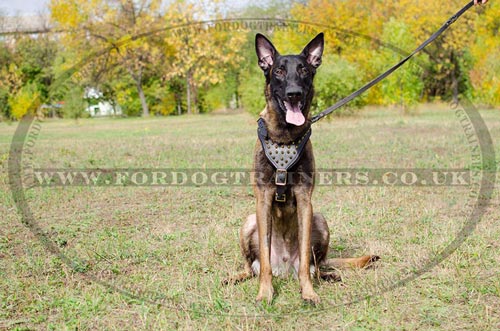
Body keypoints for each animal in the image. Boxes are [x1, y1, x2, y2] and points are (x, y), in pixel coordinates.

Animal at [228, 32, 378, 304]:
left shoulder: (305, 200)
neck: (285, 135)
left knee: (315, 266)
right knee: (252, 267)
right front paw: (265, 293)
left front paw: (308, 292)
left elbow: (306, 261)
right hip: (249, 221)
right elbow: (263, 259)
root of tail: (285, 268)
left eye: (304, 70)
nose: (294, 94)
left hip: (320, 219)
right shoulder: (263, 198)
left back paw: (328, 275)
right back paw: (237, 277)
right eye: (278, 71)